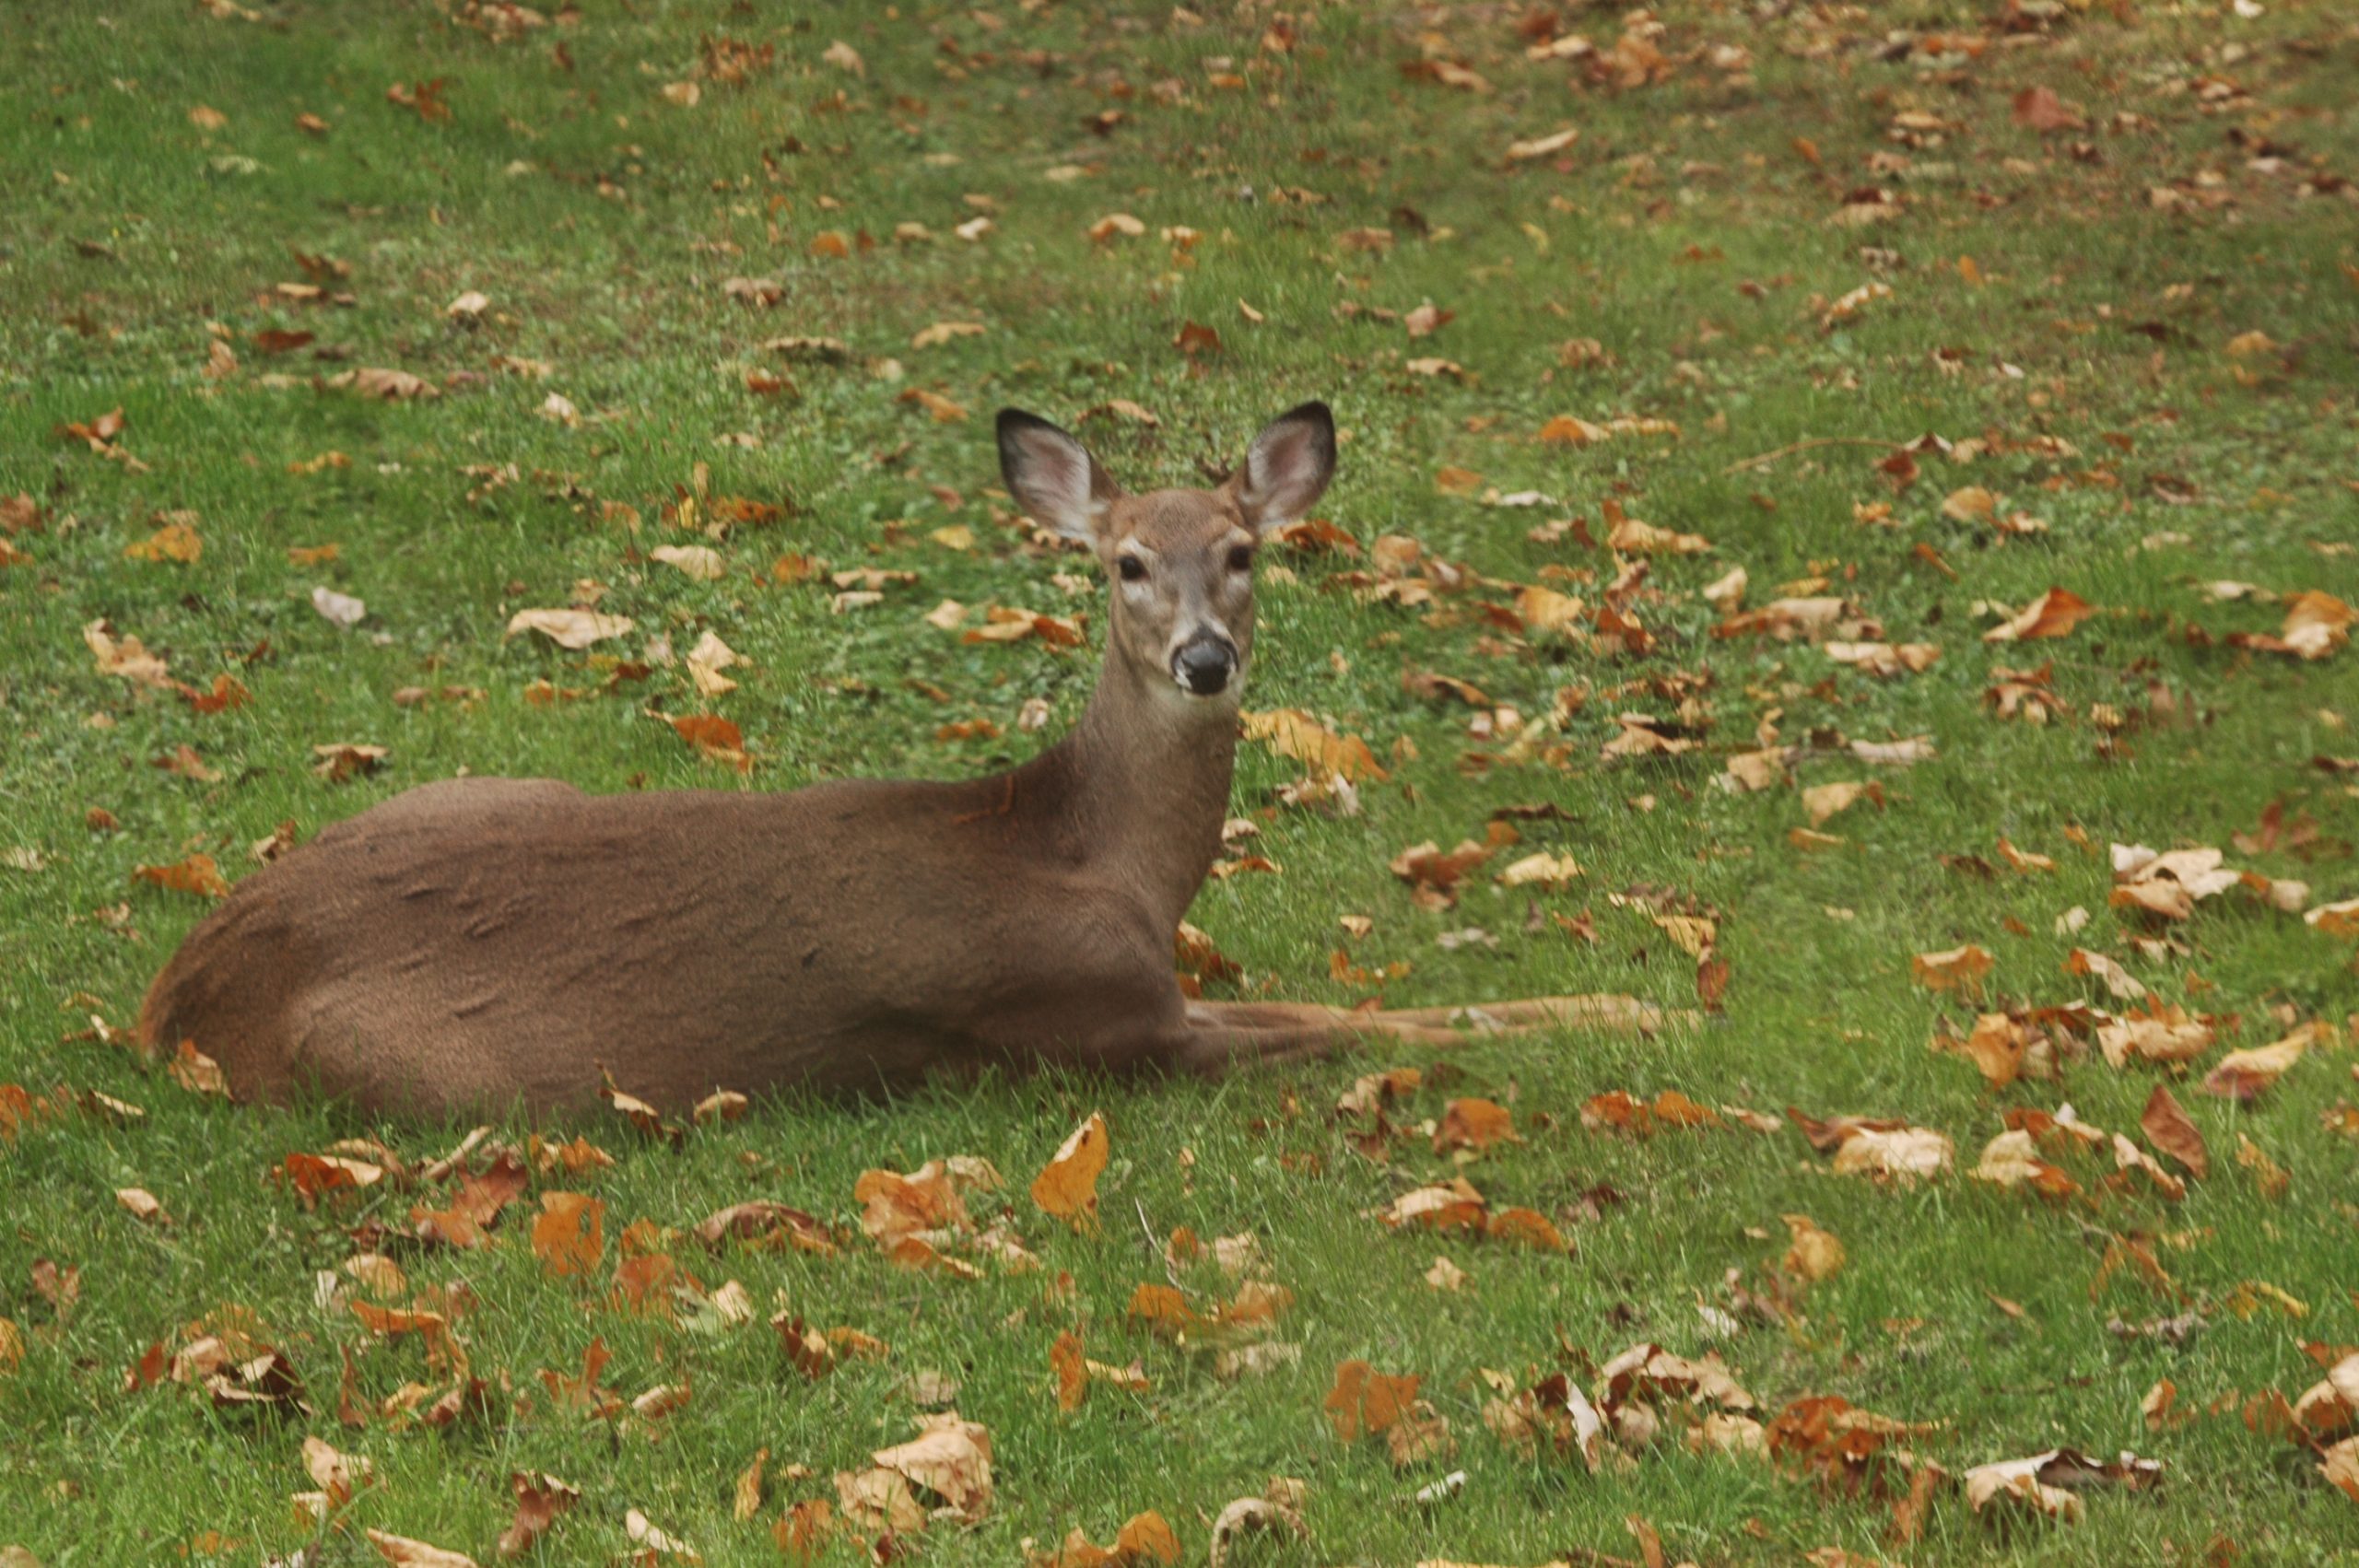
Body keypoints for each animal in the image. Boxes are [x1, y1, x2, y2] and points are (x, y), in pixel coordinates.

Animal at [137, 403, 1670, 1113]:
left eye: (1244, 553)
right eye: (1124, 562)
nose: (1204, 660)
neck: (1102, 858)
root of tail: (178, 988)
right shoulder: (1102, 1026)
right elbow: (1361, 1024)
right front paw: (1620, 1017)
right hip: (429, 1067)